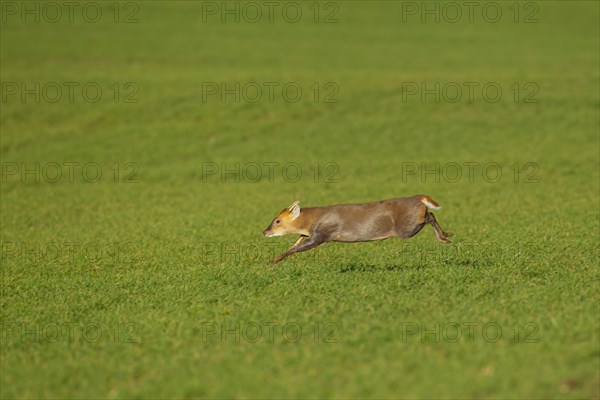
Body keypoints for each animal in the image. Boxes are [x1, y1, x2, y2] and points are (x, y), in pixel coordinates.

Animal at [260, 195, 452, 264]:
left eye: (277, 220)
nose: (265, 232)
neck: (310, 221)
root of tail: (420, 198)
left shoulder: (322, 234)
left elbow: (299, 247)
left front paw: (273, 261)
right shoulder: (310, 233)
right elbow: (296, 243)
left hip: (407, 228)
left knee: (430, 216)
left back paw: (445, 236)